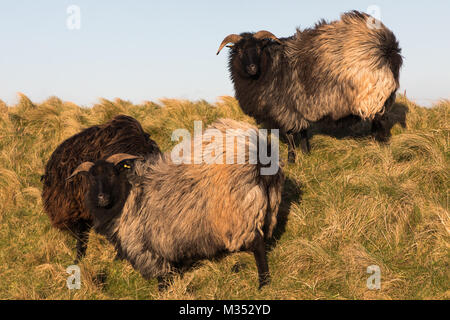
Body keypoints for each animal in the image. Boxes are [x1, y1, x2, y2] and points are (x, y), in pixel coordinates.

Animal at [68, 119, 284, 288]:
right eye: (91, 179)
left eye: (114, 174)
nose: (102, 197)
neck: (128, 196)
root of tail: (259, 156)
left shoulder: (148, 245)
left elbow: (162, 277)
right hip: (263, 208)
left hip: (239, 215)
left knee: (258, 245)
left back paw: (264, 284)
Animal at [216, 10, 402, 161]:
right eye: (239, 51)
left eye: (259, 49)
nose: (252, 67)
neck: (268, 67)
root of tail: (388, 46)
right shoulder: (298, 108)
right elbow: (303, 132)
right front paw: (306, 154)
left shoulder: (284, 109)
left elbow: (290, 135)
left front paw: (292, 159)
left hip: (371, 91)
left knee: (380, 120)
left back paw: (381, 146)